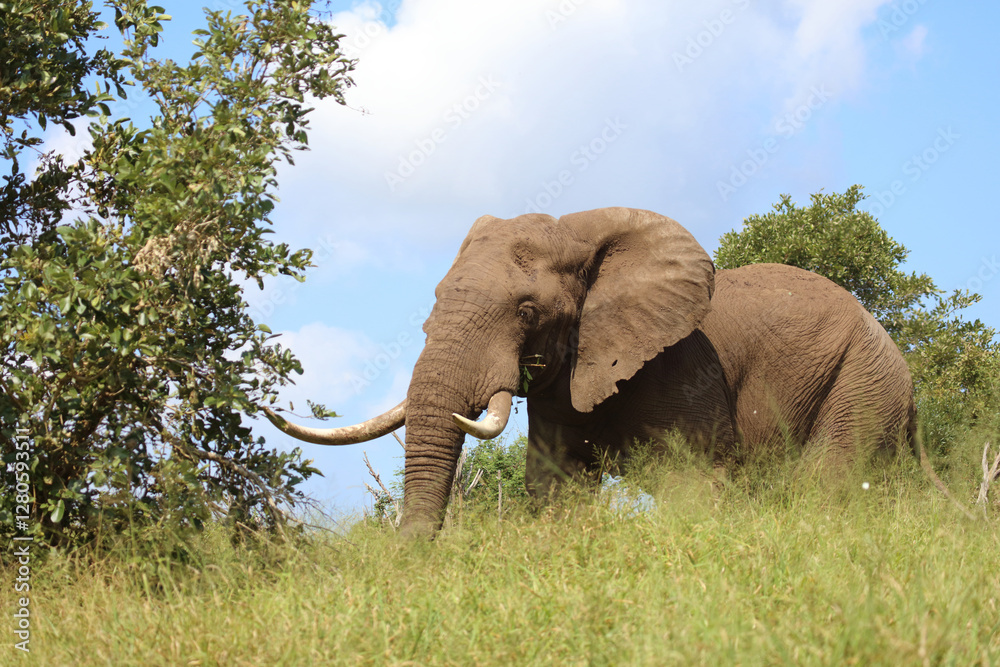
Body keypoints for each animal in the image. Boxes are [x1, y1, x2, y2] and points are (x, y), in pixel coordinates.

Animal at [265, 207, 916, 538]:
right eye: (436, 298)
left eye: (527, 312)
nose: (413, 558)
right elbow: (557, 487)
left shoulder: (683, 368)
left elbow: (692, 485)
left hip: (860, 381)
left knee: (827, 483)